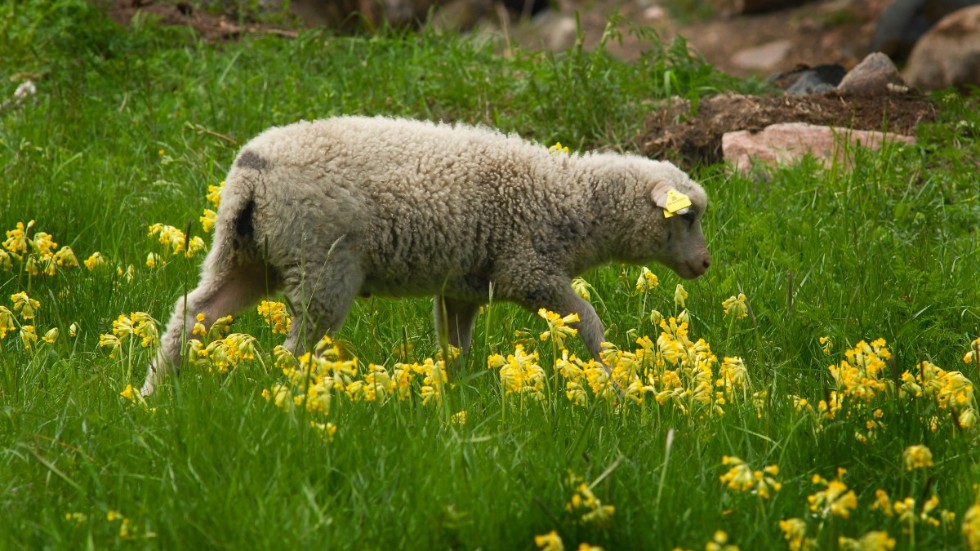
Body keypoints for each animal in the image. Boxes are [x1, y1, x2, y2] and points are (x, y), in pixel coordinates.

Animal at [142, 116, 708, 394]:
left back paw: (154, 395)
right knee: (294, 349)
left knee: (193, 314)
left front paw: (458, 398)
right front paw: (616, 384)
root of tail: (251, 172)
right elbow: (587, 320)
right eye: (687, 217)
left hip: (246, 255)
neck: (572, 201)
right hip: (322, 264)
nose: (704, 265)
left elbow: (455, 347)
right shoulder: (528, 270)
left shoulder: (464, 287)